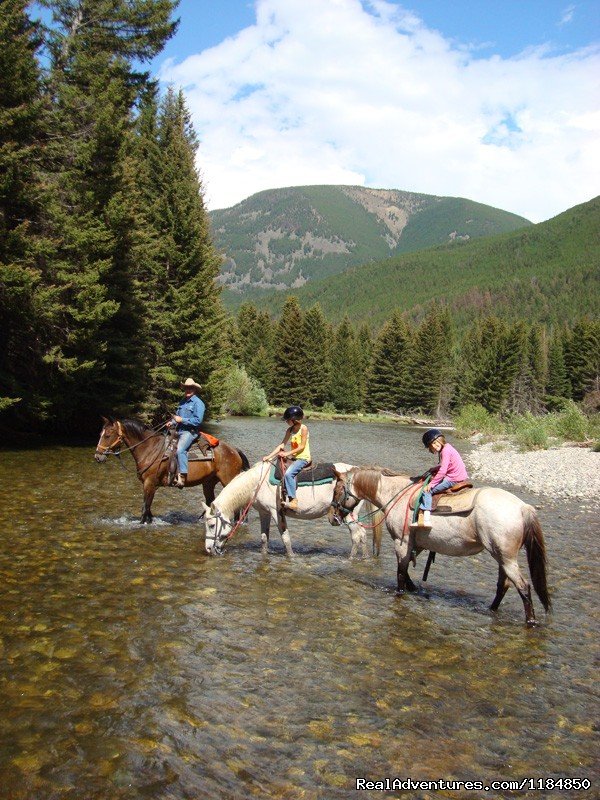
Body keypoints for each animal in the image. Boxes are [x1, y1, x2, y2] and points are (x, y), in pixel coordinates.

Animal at [95, 418, 250, 524]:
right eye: (100, 433)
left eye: (107, 435)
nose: (98, 456)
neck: (151, 449)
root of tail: (234, 449)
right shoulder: (151, 485)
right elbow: (148, 508)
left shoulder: (149, 483)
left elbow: (145, 507)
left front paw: (142, 523)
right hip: (208, 483)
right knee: (210, 500)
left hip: (228, 480)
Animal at [200, 462, 380, 556]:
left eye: (211, 525)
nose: (208, 549)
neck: (258, 482)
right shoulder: (264, 513)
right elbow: (264, 538)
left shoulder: (276, 512)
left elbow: (286, 539)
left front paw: (291, 557)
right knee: (363, 535)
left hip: (348, 515)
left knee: (356, 536)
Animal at [326, 466, 552, 628]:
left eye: (336, 490)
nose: (332, 517)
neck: (396, 494)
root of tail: (522, 507)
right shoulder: (415, 545)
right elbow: (406, 571)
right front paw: (414, 588)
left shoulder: (402, 542)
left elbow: (400, 572)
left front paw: (401, 593)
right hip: (500, 557)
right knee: (503, 585)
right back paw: (492, 609)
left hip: (506, 557)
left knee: (523, 586)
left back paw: (531, 622)